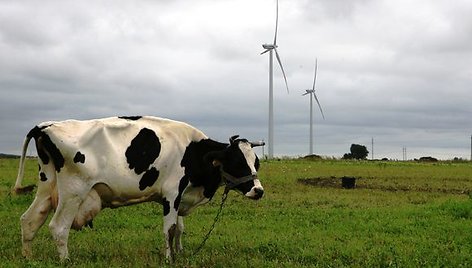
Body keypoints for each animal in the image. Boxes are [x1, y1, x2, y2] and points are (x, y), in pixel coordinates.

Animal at [13, 115, 266, 262]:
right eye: (237, 162)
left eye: (256, 162)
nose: (259, 190)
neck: (193, 151)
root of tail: (46, 125)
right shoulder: (172, 193)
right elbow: (169, 229)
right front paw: (169, 259)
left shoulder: (179, 196)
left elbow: (180, 229)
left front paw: (180, 253)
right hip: (73, 191)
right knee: (58, 227)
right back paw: (66, 261)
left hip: (47, 185)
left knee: (29, 219)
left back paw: (28, 258)